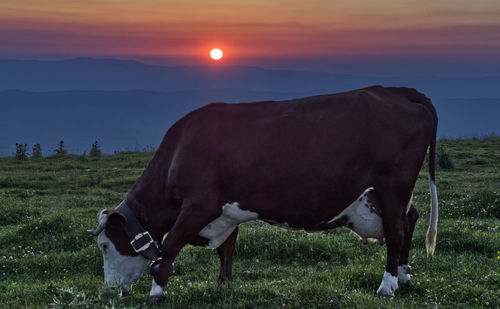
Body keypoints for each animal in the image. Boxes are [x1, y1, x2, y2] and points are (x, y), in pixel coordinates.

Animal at [89, 85, 438, 302]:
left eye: (105, 245)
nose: (109, 288)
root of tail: (396, 91)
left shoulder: (198, 206)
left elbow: (168, 247)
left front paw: (157, 291)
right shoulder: (225, 212)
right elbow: (227, 249)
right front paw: (224, 285)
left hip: (392, 187)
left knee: (396, 232)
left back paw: (387, 285)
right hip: (387, 196)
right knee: (411, 219)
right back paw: (404, 275)